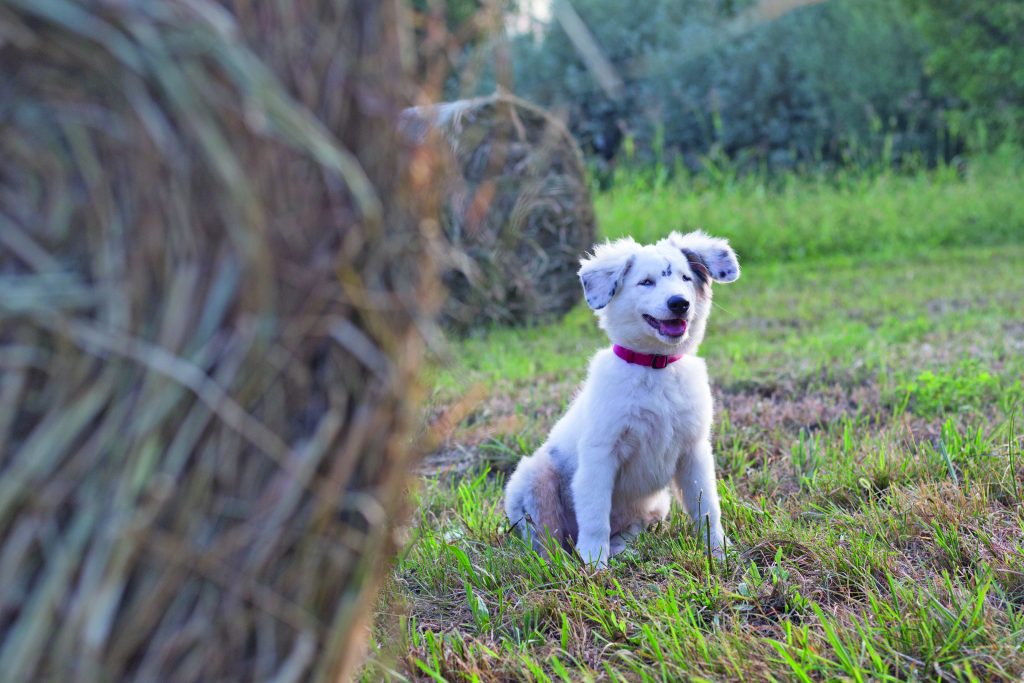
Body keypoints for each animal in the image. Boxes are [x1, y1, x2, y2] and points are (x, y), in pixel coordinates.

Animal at [501, 229, 737, 565]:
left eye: (685, 278)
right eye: (646, 282)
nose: (680, 303)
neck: (655, 367)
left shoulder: (694, 451)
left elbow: (706, 508)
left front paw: (719, 551)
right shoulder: (600, 454)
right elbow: (595, 514)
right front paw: (594, 562)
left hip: (656, 504)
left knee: (628, 528)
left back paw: (623, 548)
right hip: (534, 478)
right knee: (550, 540)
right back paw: (564, 561)